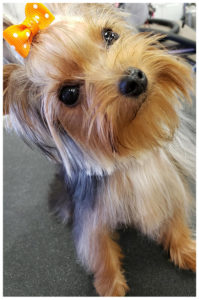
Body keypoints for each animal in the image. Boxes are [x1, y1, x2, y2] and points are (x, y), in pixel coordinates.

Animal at [3, 2, 196, 298]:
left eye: (109, 35)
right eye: (69, 94)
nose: (134, 79)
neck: (132, 149)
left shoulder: (168, 180)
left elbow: (175, 215)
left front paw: (186, 249)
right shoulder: (92, 212)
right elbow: (98, 247)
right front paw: (111, 286)